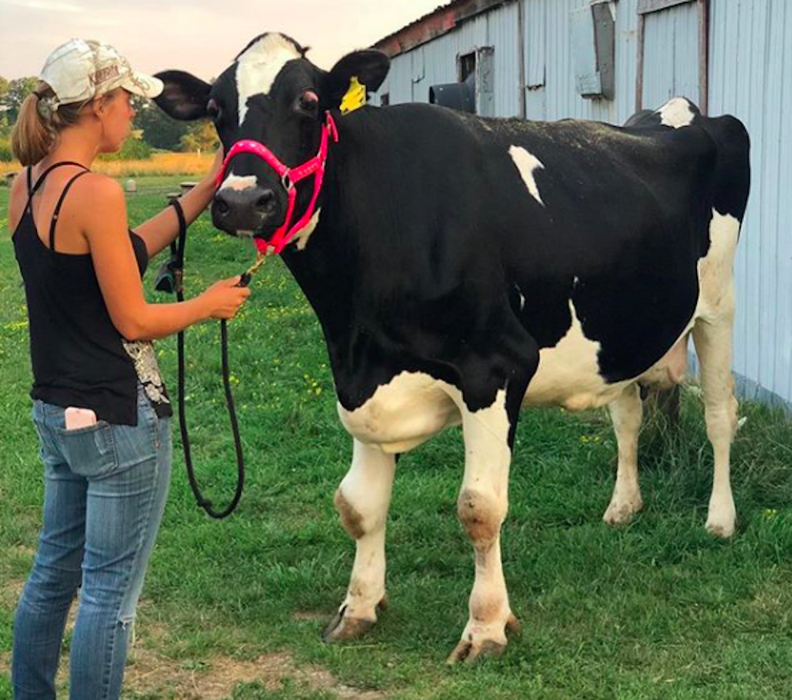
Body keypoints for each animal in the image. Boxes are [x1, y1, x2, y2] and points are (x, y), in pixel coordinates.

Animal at [154, 32, 751, 663]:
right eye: (216, 110)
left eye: (310, 102)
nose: (243, 201)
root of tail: (678, 111)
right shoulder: (363, 378)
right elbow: (357, 505)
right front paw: (358, 607)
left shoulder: (496, 367)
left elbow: (479, 509)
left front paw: (486, 626)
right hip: (615, 332)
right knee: (628, 416)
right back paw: (623, 507)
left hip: (718, 305)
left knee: (719, 414)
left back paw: (720, 519)